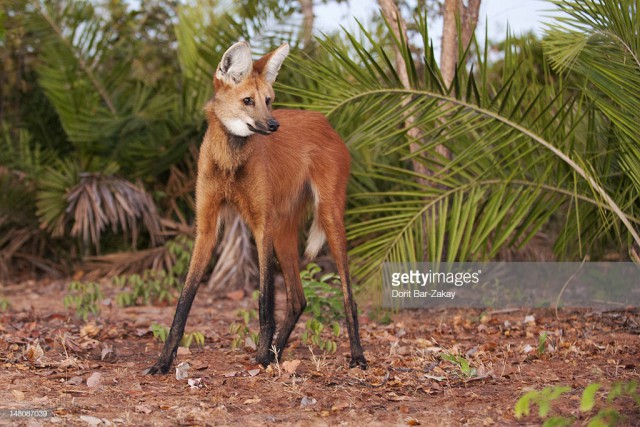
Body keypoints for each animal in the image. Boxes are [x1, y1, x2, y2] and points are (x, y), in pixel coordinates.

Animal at [146, 40, 364, 374]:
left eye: (269, 100)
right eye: (248, 101)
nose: (273, 125)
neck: (230, 160)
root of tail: (325, 121)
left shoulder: (262, 224)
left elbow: (264, 298)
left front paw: (261, 357)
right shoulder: (207, 224)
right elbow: (185, 298)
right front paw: (163, 360)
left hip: (327, 215)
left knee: (347, 294)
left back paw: (356, 356)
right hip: (284, 230)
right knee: (298, 299)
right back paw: (277, 352)